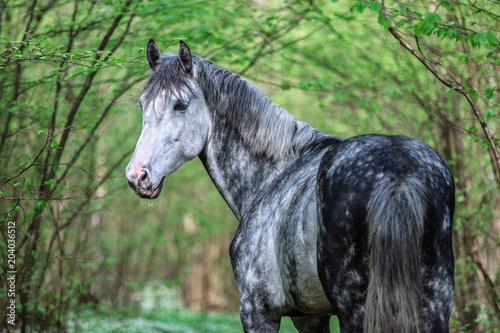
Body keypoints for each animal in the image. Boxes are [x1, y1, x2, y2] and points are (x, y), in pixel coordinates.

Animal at [125, 39, 454, 332]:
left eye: (180, 105)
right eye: (142, 105)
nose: (137, 176)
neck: (274, 175)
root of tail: (397, 171)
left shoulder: (259, 312)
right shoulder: (312, 318)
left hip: (357, 310)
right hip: (435, 305)